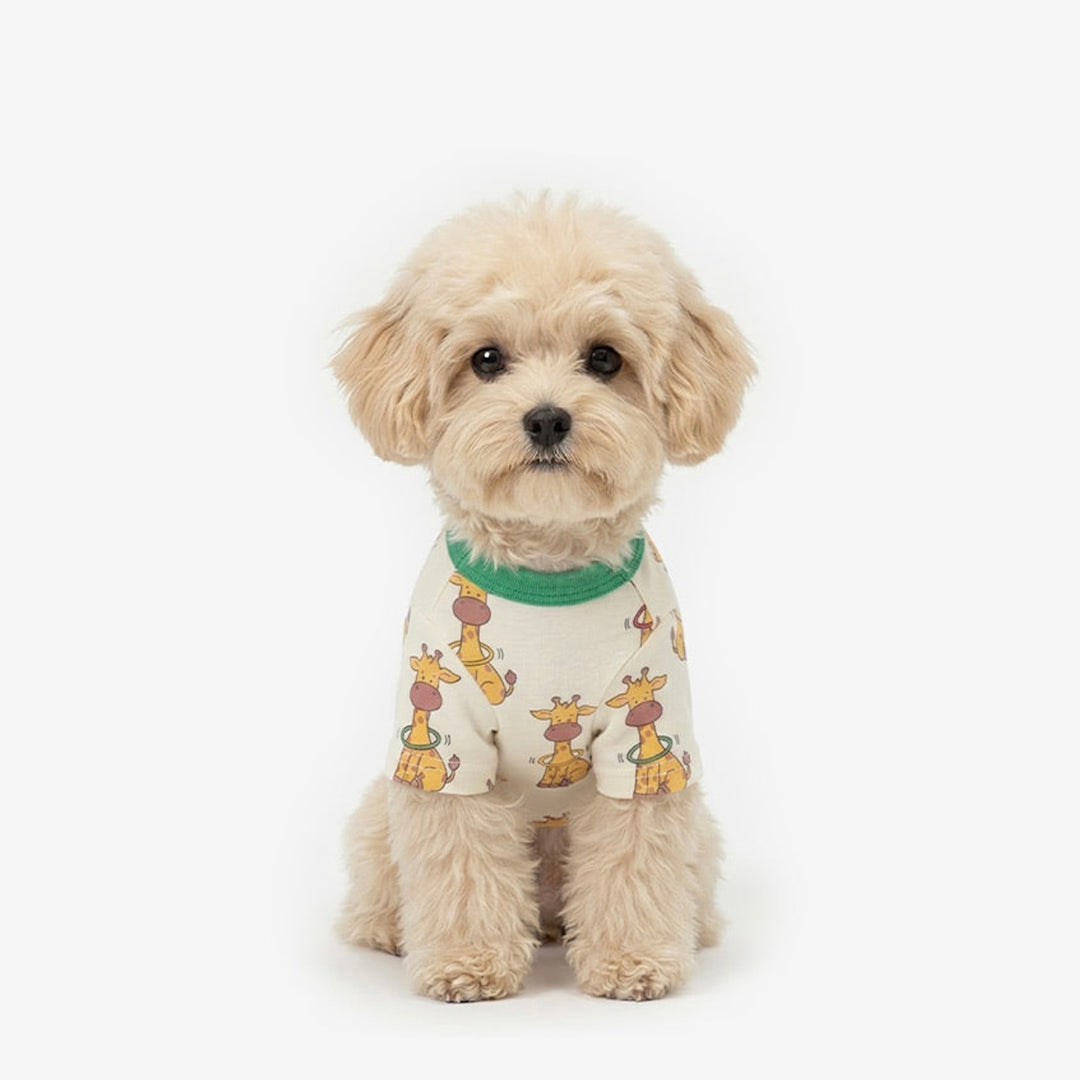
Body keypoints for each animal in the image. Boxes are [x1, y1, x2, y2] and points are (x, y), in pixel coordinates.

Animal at [393, 643, 461, 791]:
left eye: (436, 677)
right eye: (421, 672)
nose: (426, 692)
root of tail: (446, 778)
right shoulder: (405, 754)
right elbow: (400, 773)